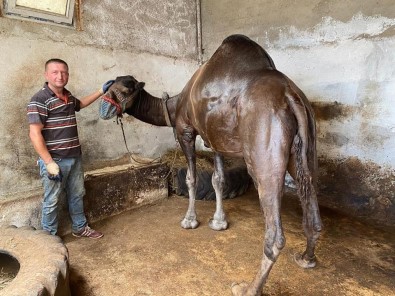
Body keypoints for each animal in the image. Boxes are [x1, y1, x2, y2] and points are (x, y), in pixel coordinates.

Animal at [100, 34, 324, 296]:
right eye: (109, 86)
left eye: (123, 90)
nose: (103, 107)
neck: (175, 105)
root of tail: (291, 96)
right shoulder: (215, 138)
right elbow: (218, 179)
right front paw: (219, 222)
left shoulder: (186, 130)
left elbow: (192, 178)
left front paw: (189, 221)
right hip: (303, 149)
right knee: (310, 194)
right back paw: (306, 258)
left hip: (264, 151)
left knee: (274, 231)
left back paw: (247, 288)